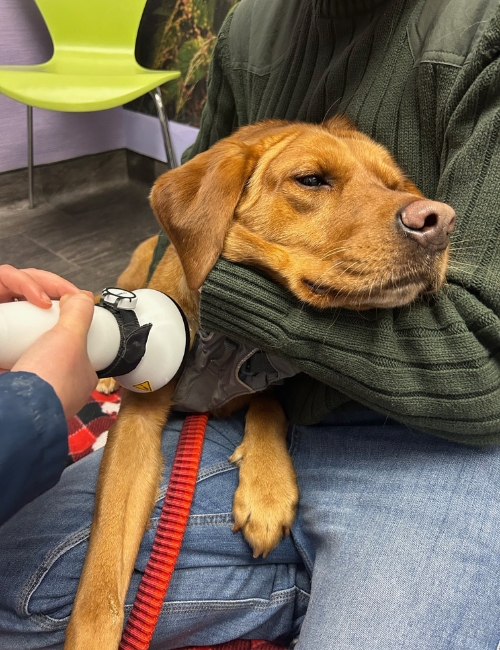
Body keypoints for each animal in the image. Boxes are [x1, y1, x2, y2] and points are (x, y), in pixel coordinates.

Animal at [61, 116, 454, 648]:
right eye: (311, 179)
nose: (440, 221)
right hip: (130, 274)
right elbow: (101, 573)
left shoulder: (272, 377)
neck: (224, 342)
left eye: (397, 186)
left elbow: (269, 405)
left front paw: (266, 487)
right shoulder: (137, 425)